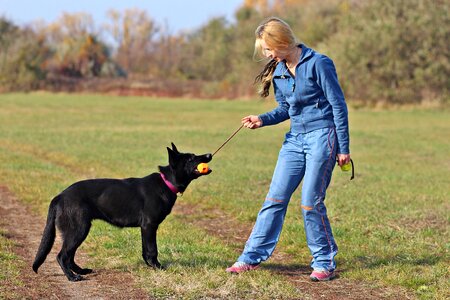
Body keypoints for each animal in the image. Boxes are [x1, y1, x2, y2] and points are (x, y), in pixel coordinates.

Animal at [32, 143, 212, 282]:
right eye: (190, 158)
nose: (209, 154)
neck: (166, 182)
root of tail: (60, 196)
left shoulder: (145, 228)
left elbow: (145, 250)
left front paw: (150, 266)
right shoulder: (149, 226)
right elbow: (152, 250)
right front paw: (158, 267)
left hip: (78, 231)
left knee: (69, 256)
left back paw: (81, 271)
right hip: (78, 230)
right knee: (62, 255)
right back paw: (72, 277)